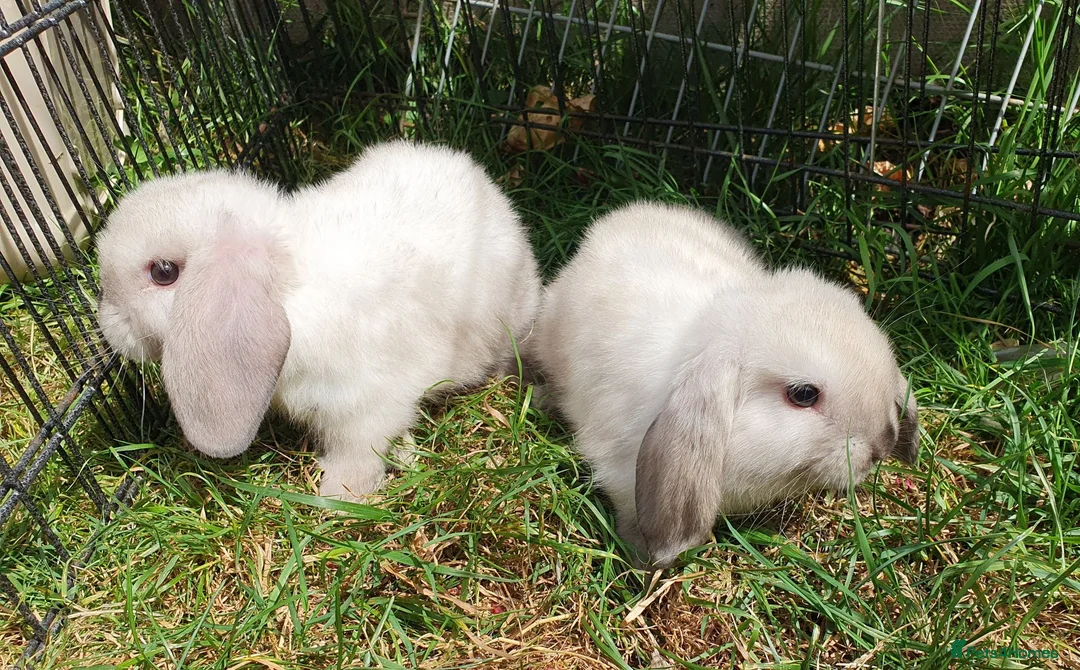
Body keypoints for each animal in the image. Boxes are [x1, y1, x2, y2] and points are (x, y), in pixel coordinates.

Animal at [96, 140, 542, 500]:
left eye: (164, 272)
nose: (107, 326)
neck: (288, 290)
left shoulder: (365, 407)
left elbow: (358, 454)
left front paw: (338, 498)